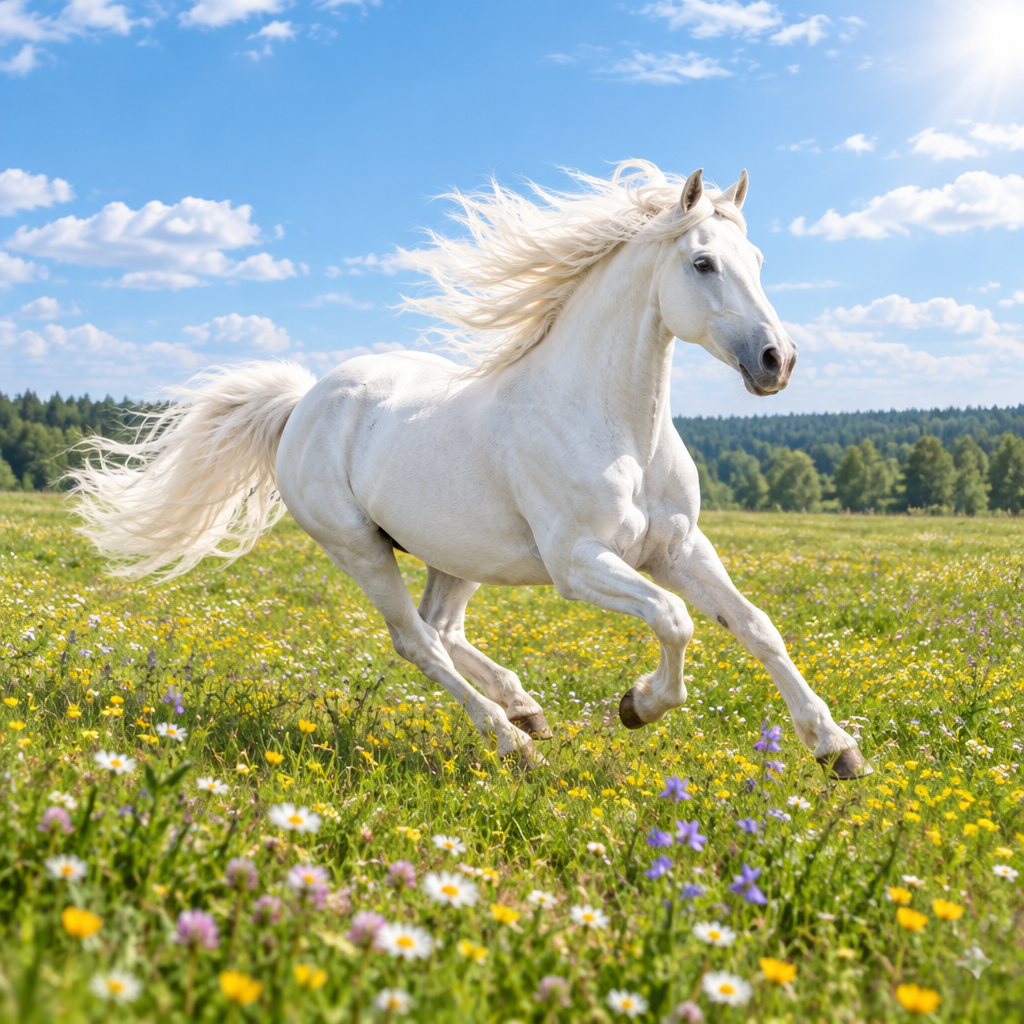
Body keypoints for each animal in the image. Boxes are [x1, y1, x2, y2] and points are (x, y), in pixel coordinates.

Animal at [70, 160, 870, 779]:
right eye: (702, 263)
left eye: (758, 261)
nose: (777, 361)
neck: (617, 430)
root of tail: (303, 403)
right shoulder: (580, 564)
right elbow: (675, 620)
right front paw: (637, 707)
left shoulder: (678, 548)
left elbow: (756, 626)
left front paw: (837, 749)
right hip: (358, 548)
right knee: (416, 642)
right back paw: (513, 743)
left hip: (455, 553)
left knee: (443, 630)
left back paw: (526, 710)